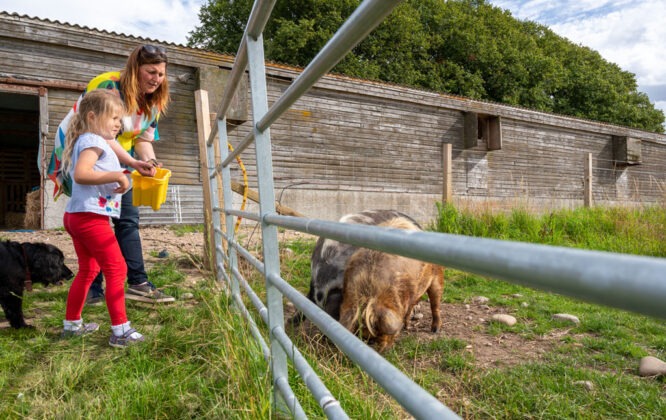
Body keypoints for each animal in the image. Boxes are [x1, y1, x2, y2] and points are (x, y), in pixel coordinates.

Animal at [340, 217, 444, 352]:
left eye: (379, 329)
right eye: (359, 330)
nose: (370, 341)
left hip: (437, 277)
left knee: (435, 303)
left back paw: (434, 330)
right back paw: (407, 326)